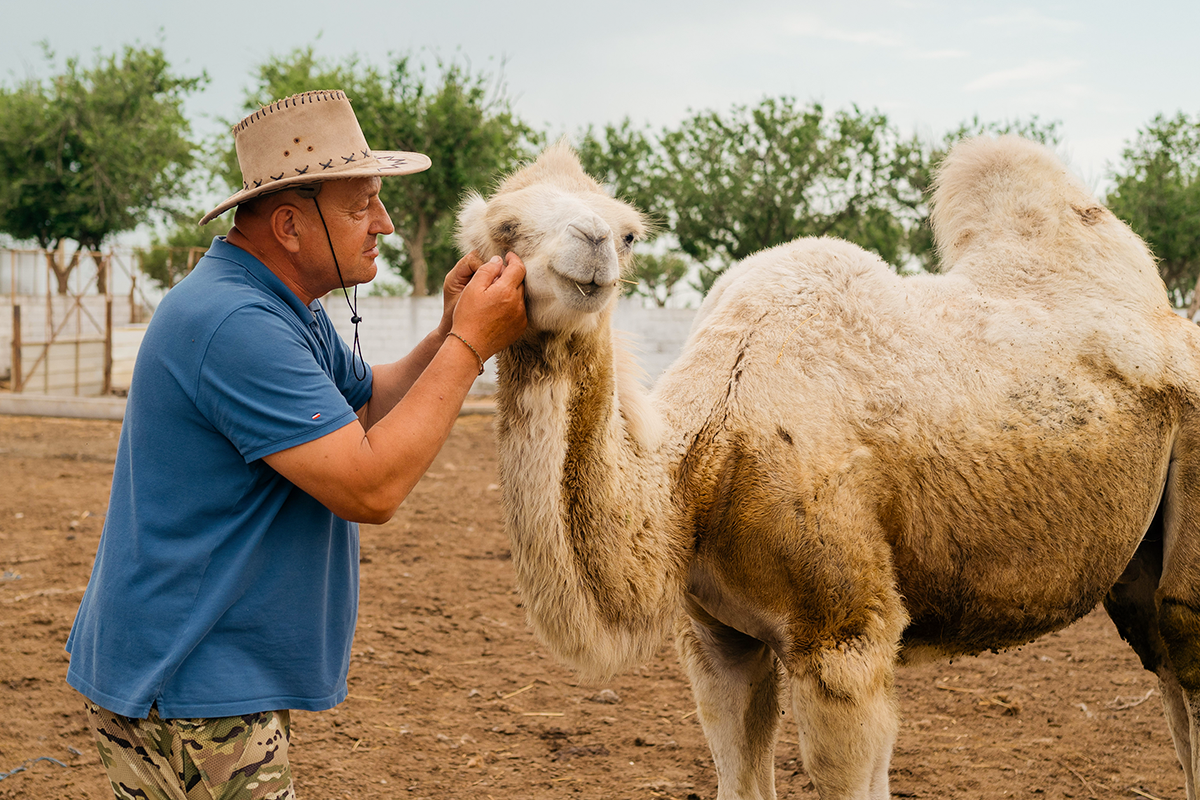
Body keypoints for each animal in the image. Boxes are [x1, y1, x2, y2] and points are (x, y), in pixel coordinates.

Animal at [453, 139, 1200, 800]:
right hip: (1134, 558)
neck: (699, 469)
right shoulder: (717, 642)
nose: (593, 244)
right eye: (506, 227)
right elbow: (739, 780)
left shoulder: (844, 639)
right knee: (1163, 659)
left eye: (630, 233)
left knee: (1184, 642)